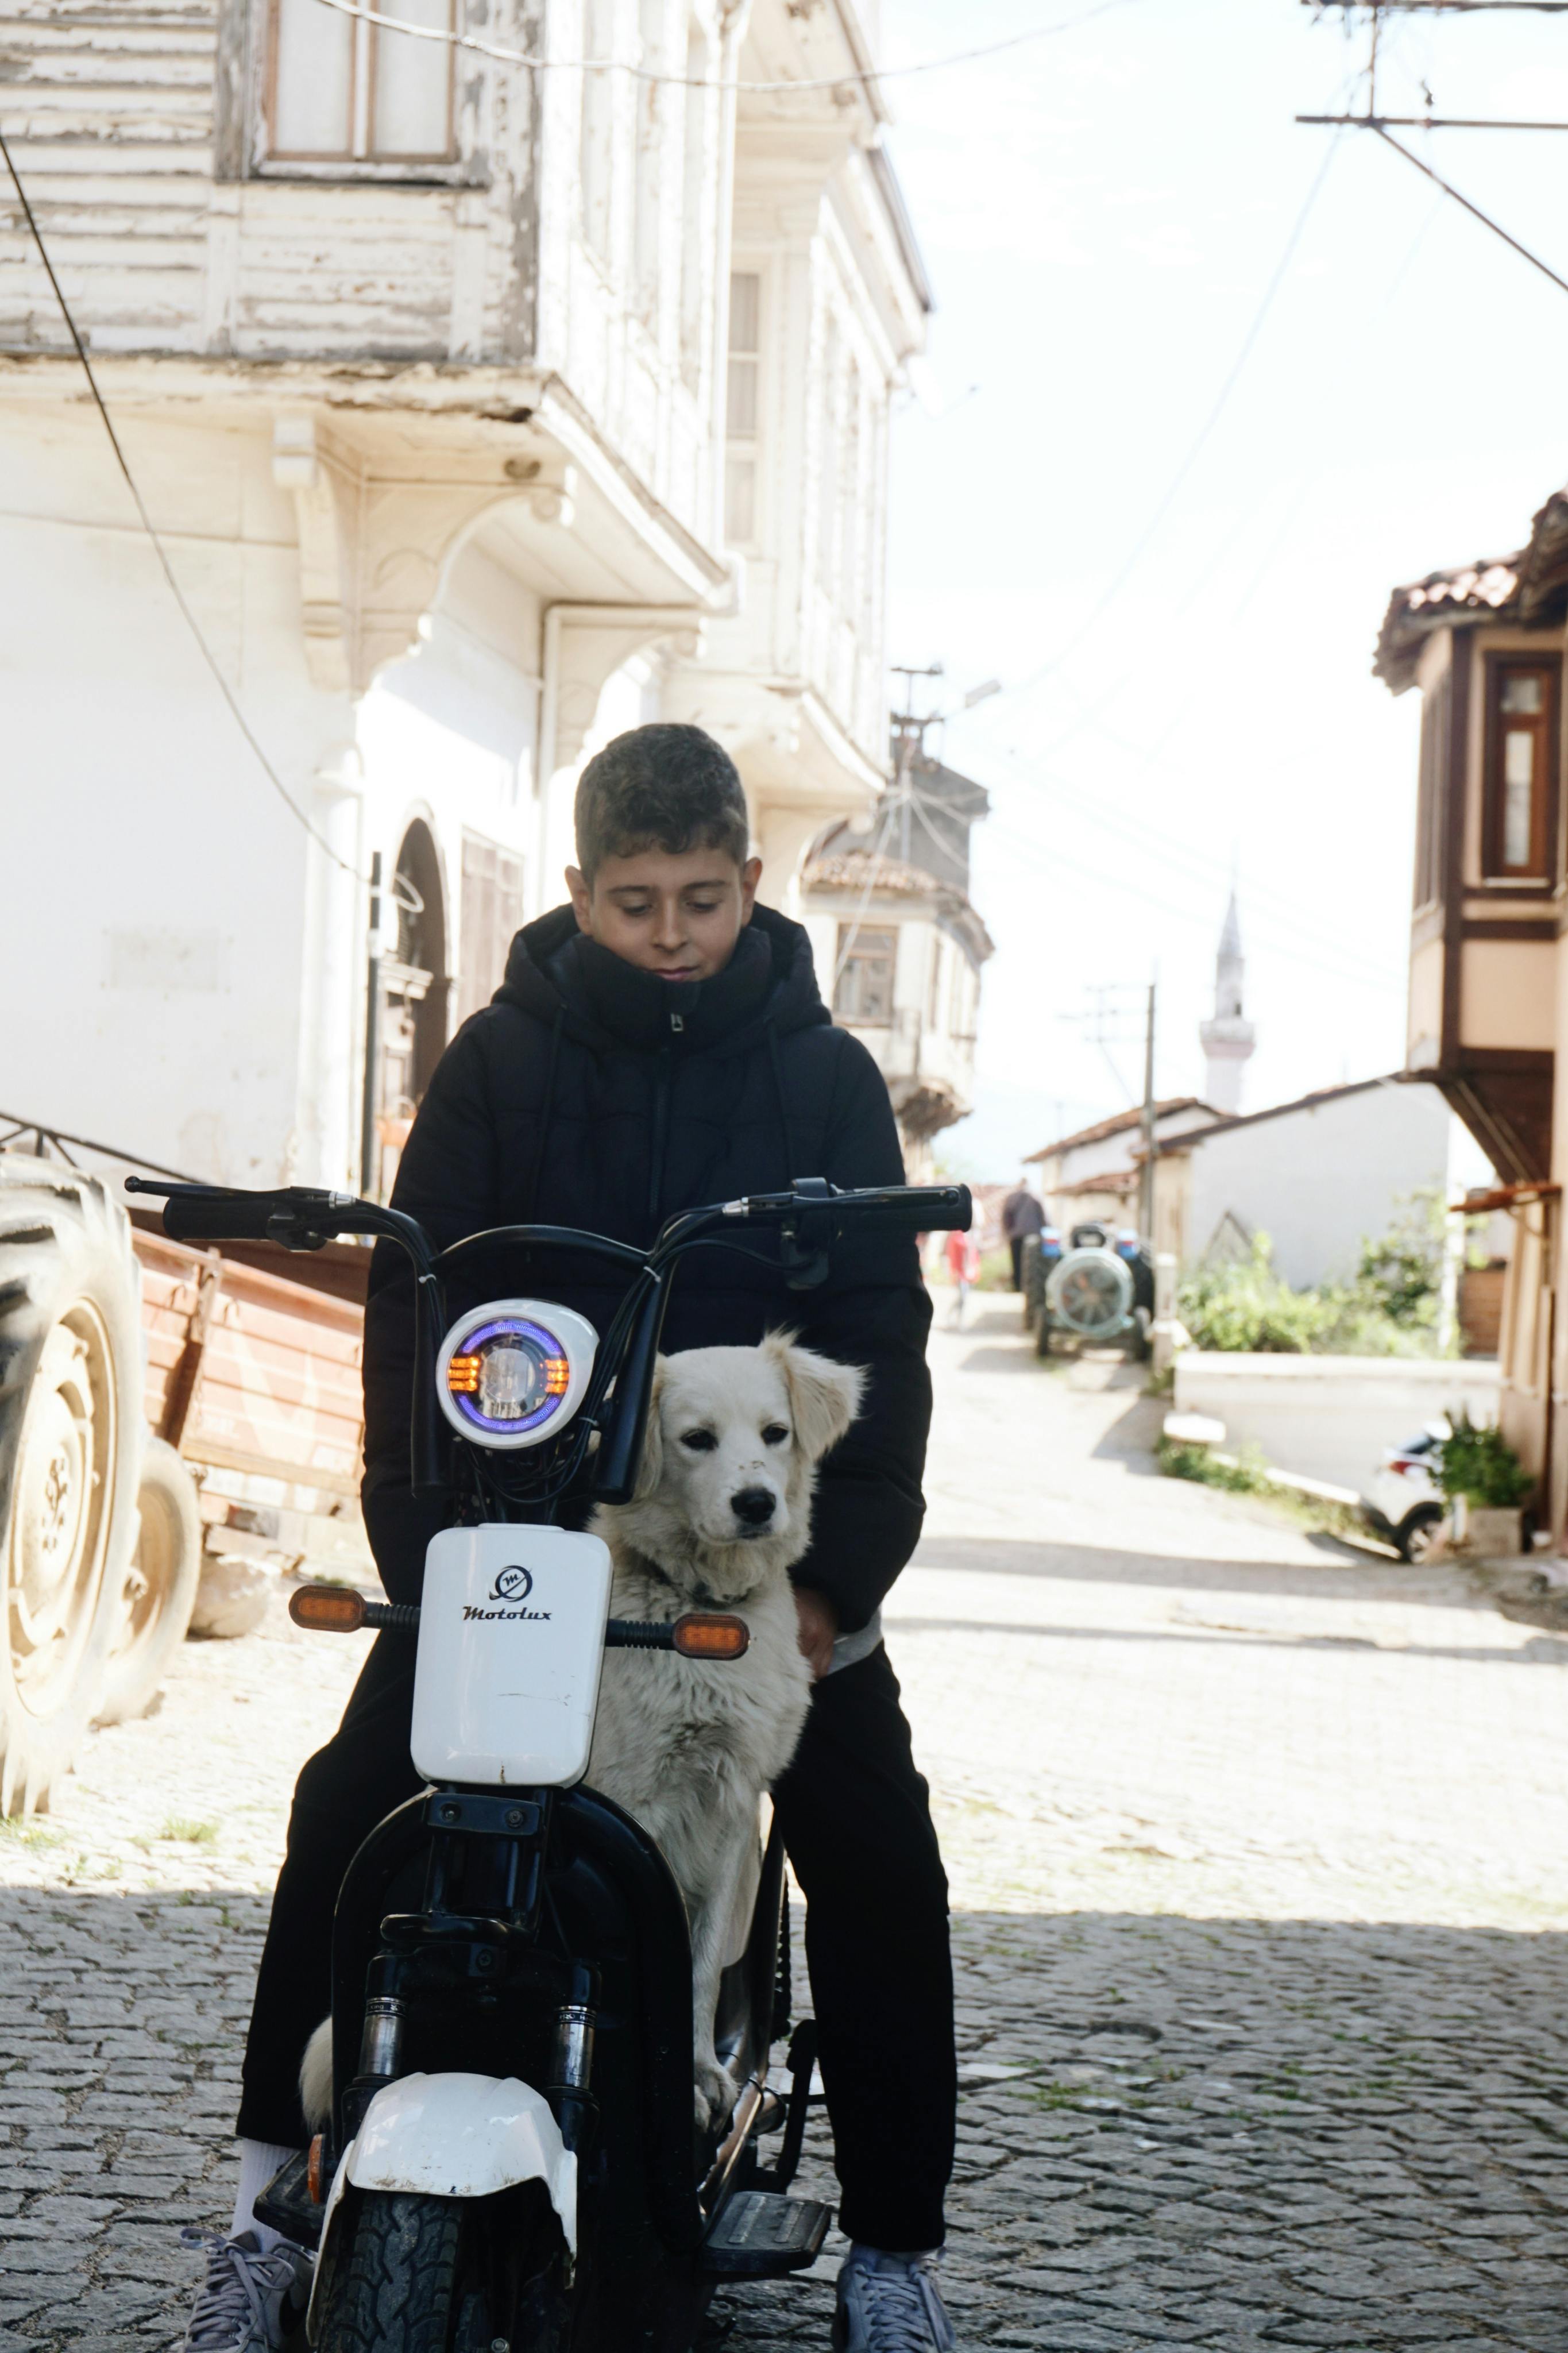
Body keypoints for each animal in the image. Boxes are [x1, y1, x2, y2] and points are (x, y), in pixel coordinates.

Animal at [300, 1336, 865, 2146]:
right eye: (697, 1439)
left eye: (775, 1432)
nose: (756, 1504)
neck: (693, 1603)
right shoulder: (639, 1801)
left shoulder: (728, 1811)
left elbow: (694, 1967)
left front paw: (696, 2075)